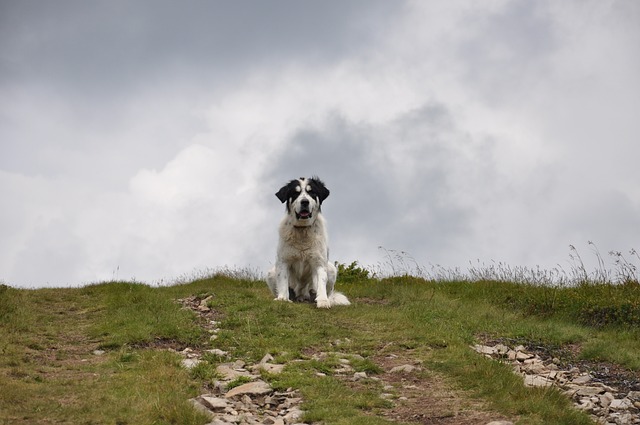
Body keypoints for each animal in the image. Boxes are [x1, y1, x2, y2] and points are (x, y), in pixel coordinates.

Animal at [264, 176, 350, 308]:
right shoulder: (283, 261)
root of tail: (301, 296)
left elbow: (321, 282)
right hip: (271, 272)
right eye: (295, 193)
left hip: (331, 269)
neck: (302, 230)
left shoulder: (319, 262)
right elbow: (283, 281)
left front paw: (323, 301)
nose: (305, 202)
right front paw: (283, 298)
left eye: (311, 192)